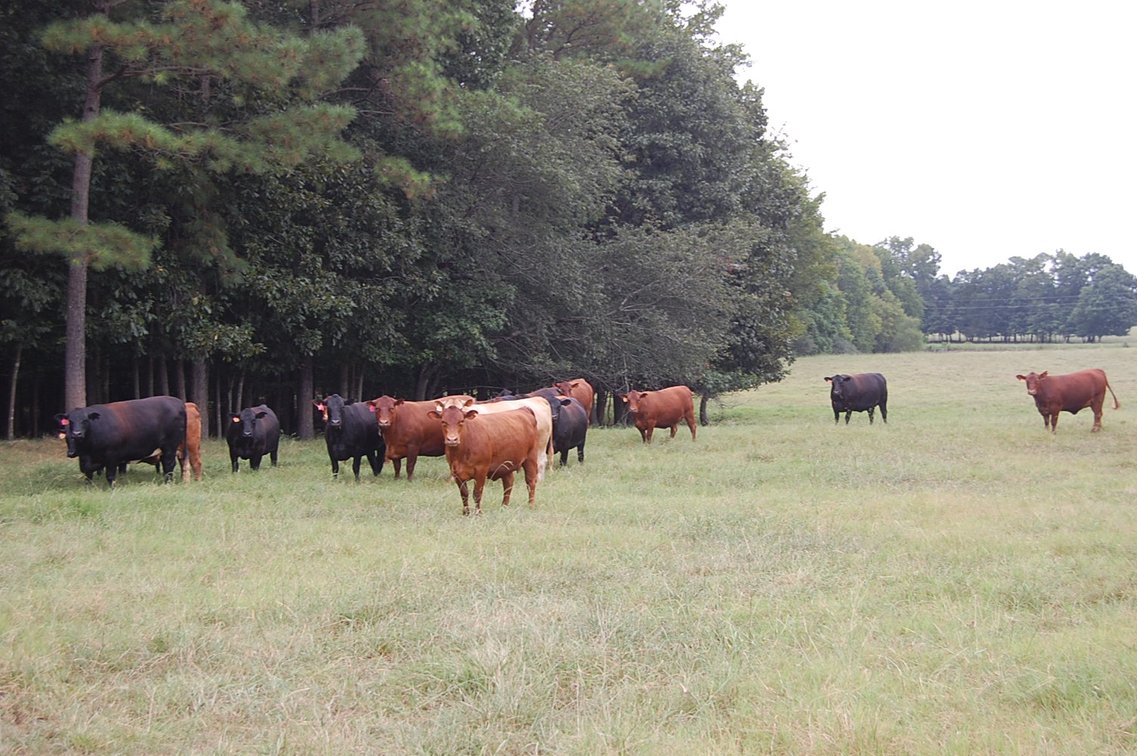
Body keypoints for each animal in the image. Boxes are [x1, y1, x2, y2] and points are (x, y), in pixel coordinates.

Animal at [57, 395, 186, 487]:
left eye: (85, 420)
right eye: (70, 421)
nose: (77, 433)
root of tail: (178, 402)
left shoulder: (111, 456)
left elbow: (110, 475)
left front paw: (112, 488)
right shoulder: (87, 459)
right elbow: (88, 474)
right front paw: (88, 487)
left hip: (170, 445)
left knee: (169, 464)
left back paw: (168, 482)